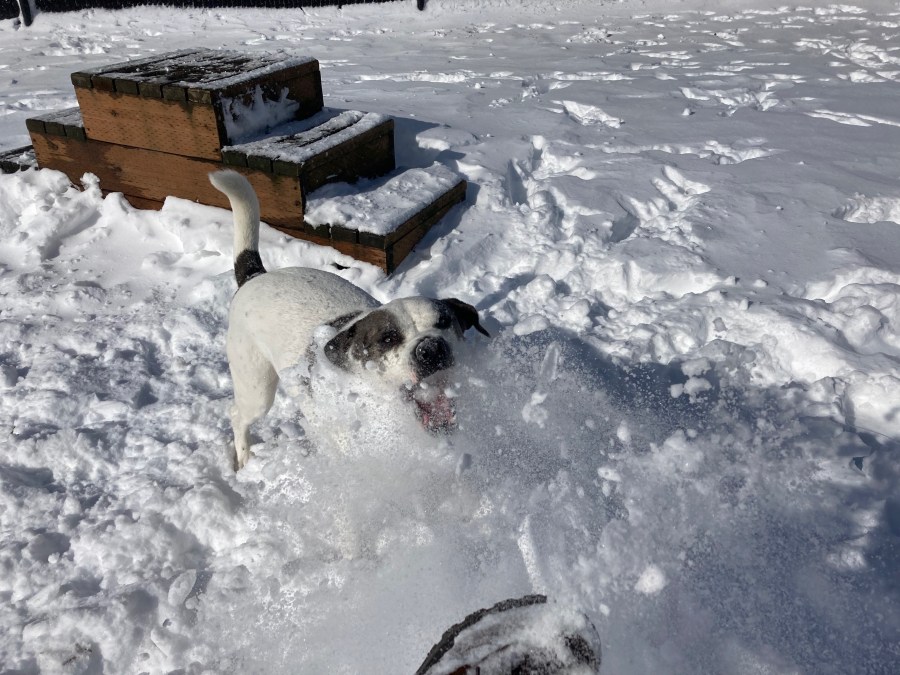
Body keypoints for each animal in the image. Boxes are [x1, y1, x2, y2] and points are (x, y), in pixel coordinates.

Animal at [208, 170, 488, 470]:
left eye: (444, 321)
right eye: (388, 338)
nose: (431, 350)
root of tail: (255, 276)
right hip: (256, 386)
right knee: (237, 415)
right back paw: (244, 458)